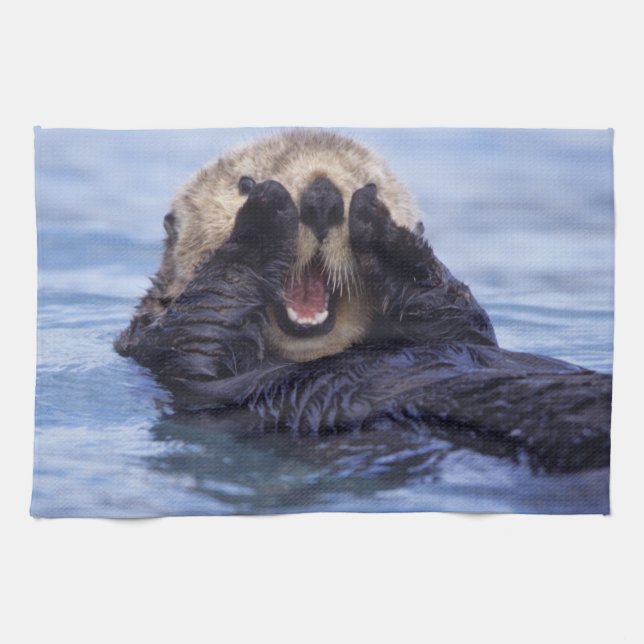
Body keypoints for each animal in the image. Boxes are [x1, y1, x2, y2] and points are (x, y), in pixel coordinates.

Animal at [116, 130, 611, 474]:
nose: (322, 196)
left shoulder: (465, 332)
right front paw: (265, 212)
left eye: (365, 181)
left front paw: (380, 224)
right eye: (243, 181)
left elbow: (456, 312)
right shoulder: (165, 353)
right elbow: (203, 324)